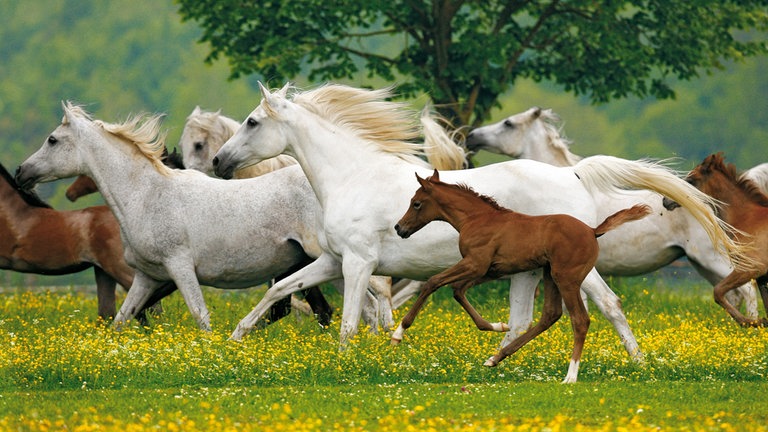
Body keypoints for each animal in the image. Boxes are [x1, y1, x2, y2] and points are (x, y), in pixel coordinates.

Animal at [14, 103, 396, 332]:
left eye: (52, 140)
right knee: (362, 306)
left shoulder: (180, 267)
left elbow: (201, 317)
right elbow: (122, 319)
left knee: (371, 302)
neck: (147, 196)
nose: (21, 172)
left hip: (332, 260)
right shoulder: (147, 277)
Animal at [392, 170, 652, 384]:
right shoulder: (488, 270)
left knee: (580, 320)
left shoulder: (475, 264)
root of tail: (592, 231)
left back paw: (570, 375)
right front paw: (497, 325)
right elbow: (457, 290)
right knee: (550, 315)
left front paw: (398, 333)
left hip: (566, 278)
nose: (399, 228)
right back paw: (496, 358)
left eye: (416, 203)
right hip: (550, 275)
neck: (476, 219)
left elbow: (433, 282)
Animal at [464, 107, 760, 318]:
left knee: (747, 289)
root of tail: (708, 203)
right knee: (732, 293)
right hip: (701, 264)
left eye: (508, 123)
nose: (471, 136)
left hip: (712, 259)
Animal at [664, 154, 768, 326]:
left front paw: (749, 322)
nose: (665, 200)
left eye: (691, 180)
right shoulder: (762, 277)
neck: (747, 219)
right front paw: (758, 322)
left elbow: (718, 291)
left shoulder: (752, 268)